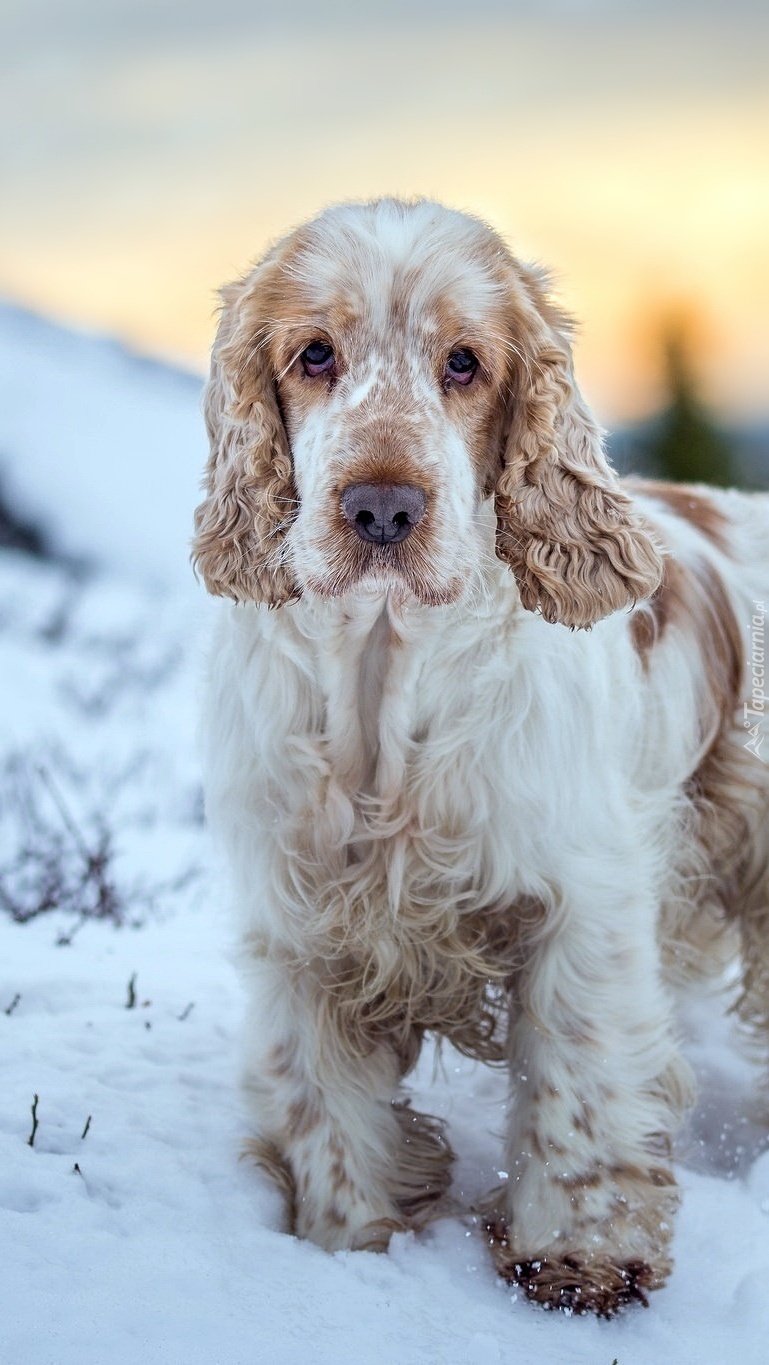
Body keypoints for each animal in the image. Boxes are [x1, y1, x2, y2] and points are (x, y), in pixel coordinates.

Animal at [191, 197, 769, 1315]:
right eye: (314, 353)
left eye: (464, 362)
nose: (380, 508)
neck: (383, 686)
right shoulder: (304, 922)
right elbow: (329, 1112)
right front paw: (352, 1244)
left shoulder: (579, 899)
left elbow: (578, 1082)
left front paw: (579, 1257)